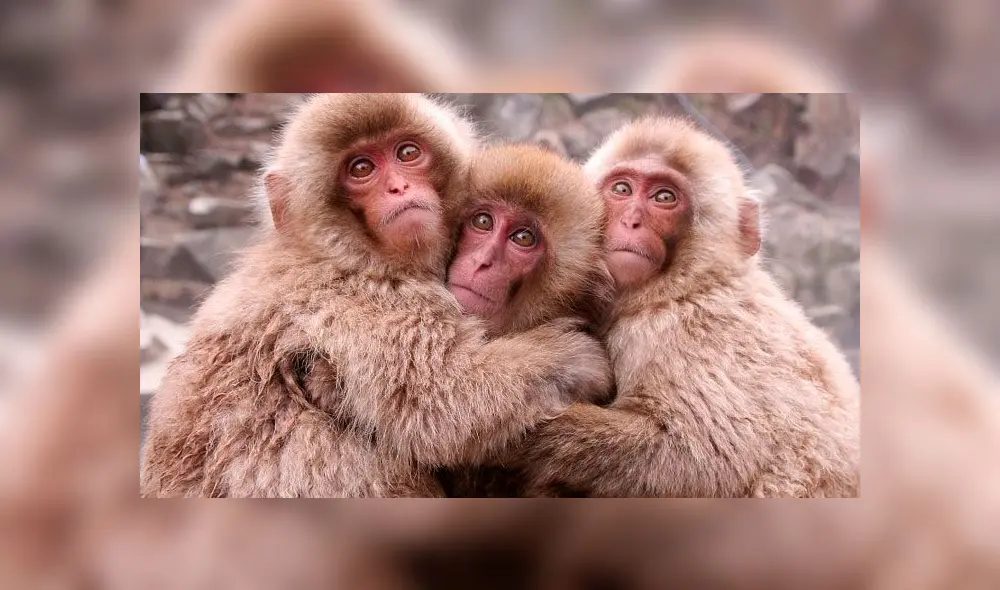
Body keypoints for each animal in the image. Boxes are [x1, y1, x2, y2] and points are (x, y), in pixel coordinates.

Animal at [512, 116, 861, 498]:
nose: (631, 220)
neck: (681, 287)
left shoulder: (680, 332)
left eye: (664, 197)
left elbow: (702, 457)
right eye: (622, 189)